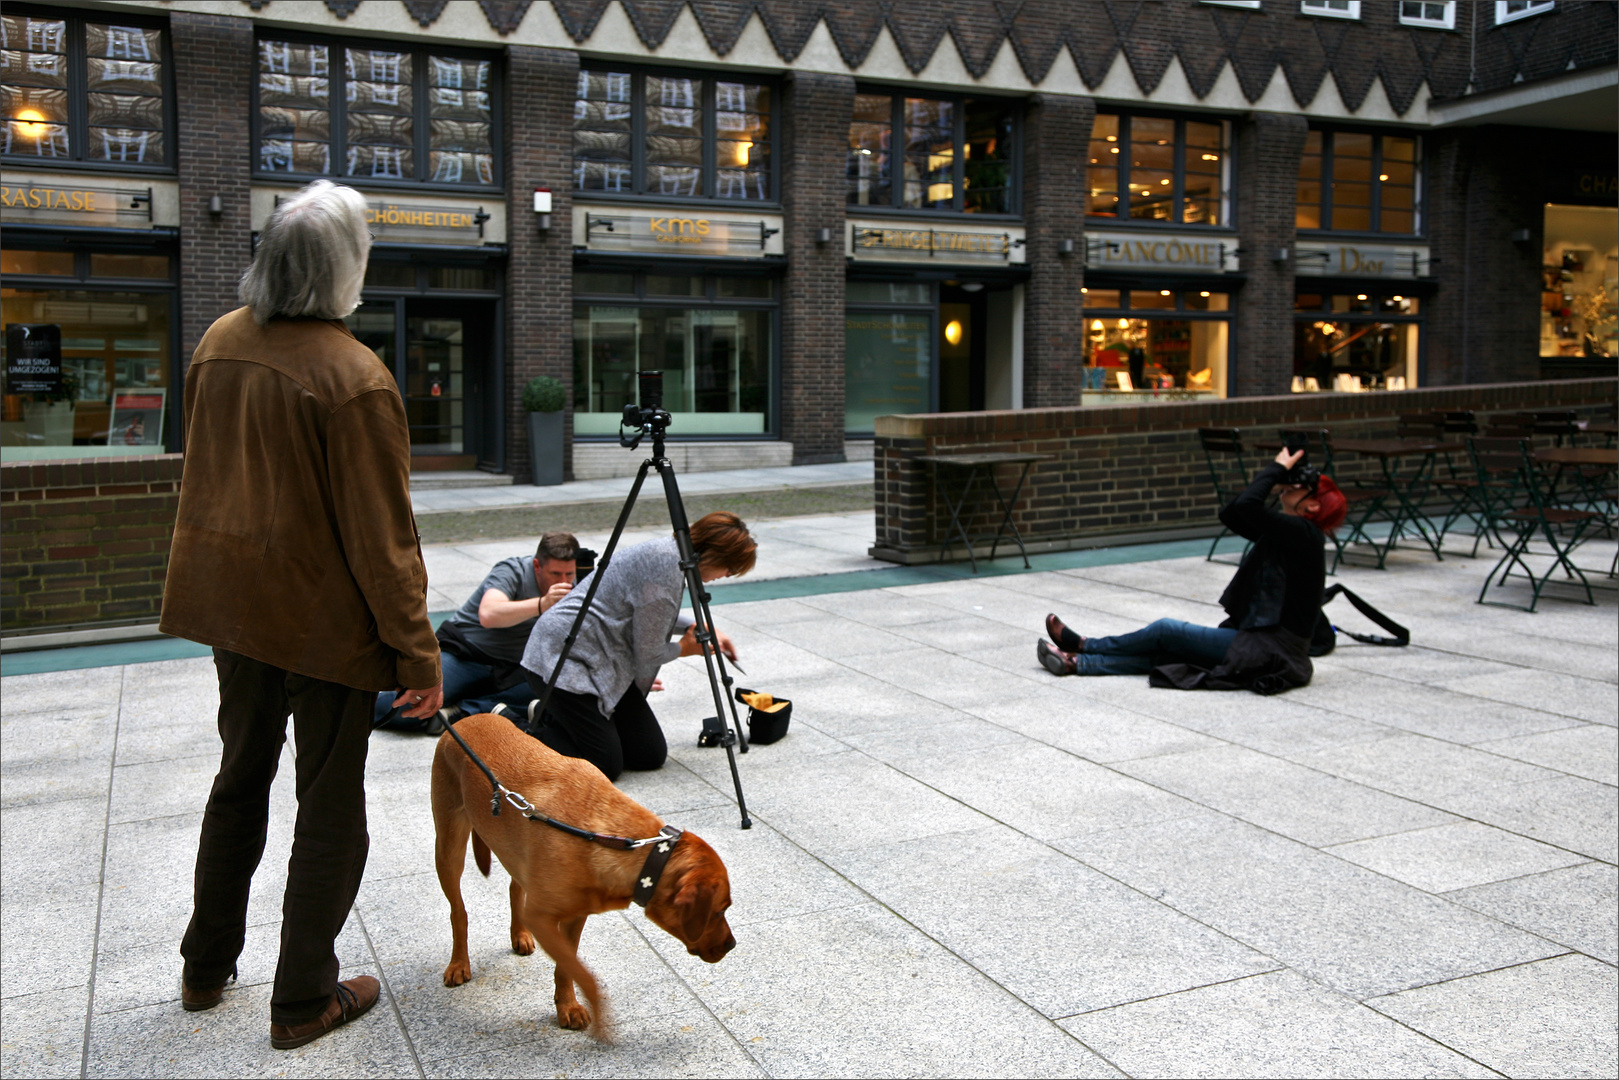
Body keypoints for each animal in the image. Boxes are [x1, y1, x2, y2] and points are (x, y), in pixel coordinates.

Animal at [430, 712, 735, 1036]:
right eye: (719, 911)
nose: (732, 945)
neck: (604, 837)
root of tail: (466, 719)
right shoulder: (542, 917)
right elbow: (582, 974)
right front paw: (594, 1012)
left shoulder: (575, 916)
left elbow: (567, 967)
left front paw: (567, 1005)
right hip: (448, 847)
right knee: (458, 911)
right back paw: (459, 963)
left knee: (515, 889)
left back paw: (519, 935)